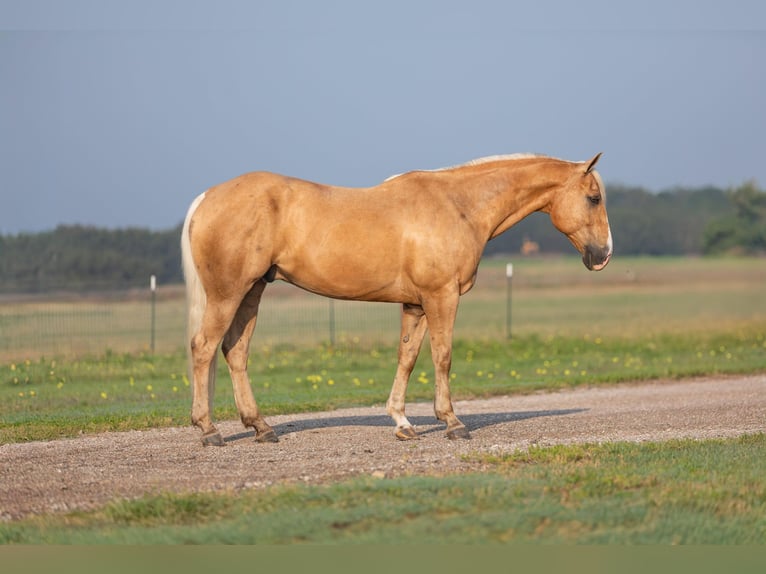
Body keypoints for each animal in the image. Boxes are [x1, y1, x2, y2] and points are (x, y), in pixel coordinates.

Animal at [181, 153, 612, 446]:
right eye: (593, 198)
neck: (458, 205)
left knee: (235, 352)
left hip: (252, 291)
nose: (603, 255)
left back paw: (261, 427)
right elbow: (443, 356)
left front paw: (403, 423)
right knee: (203, 347)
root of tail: (205, 198)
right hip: (229, 293)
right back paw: (209, 430)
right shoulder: (442, 297)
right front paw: (452, 422)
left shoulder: (416, 305)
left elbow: (407, 357)